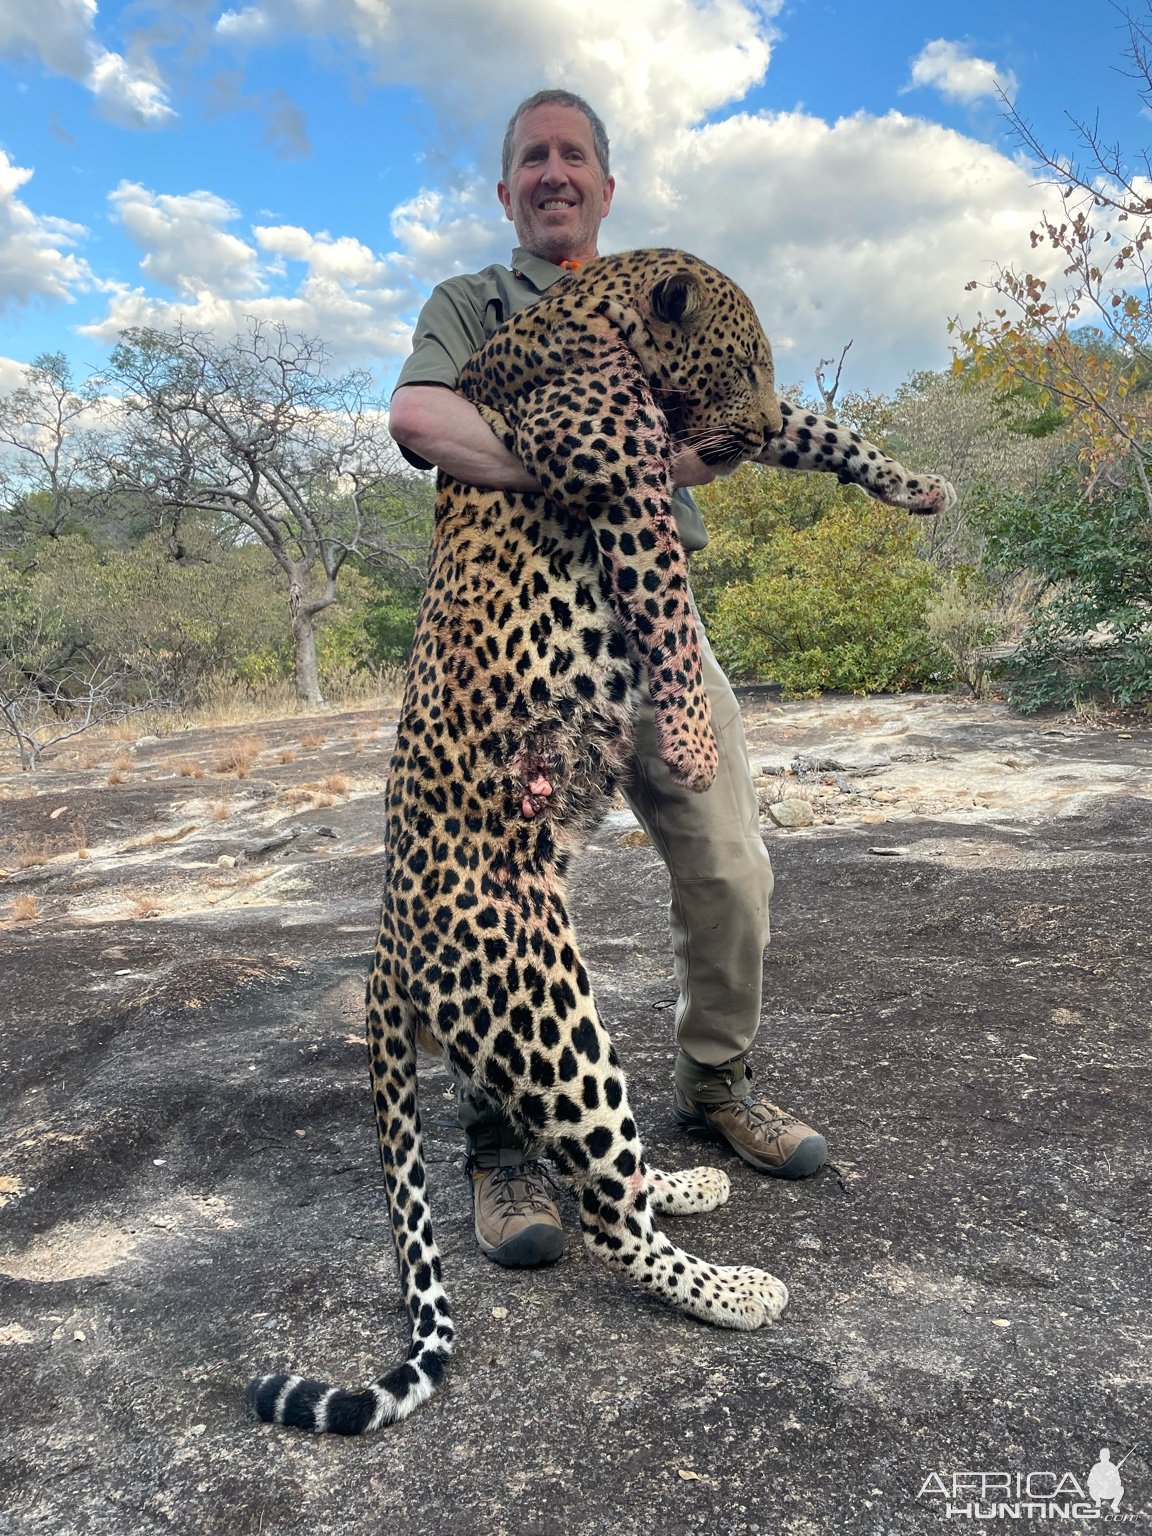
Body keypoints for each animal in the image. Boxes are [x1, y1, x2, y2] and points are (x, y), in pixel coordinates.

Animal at [248, 245, 958, 1431]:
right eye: (743, 359)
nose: (748, 429)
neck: (595, 312)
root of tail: (383, 949)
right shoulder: (626, 484)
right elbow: (666, 608)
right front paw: (690, 735)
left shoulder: (679, 450)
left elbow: (824, 431)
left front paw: (915, 484)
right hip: (545, 1009)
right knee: (604, 1211)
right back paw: (734, 1289)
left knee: (603, 1169)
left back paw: (691, 1181)